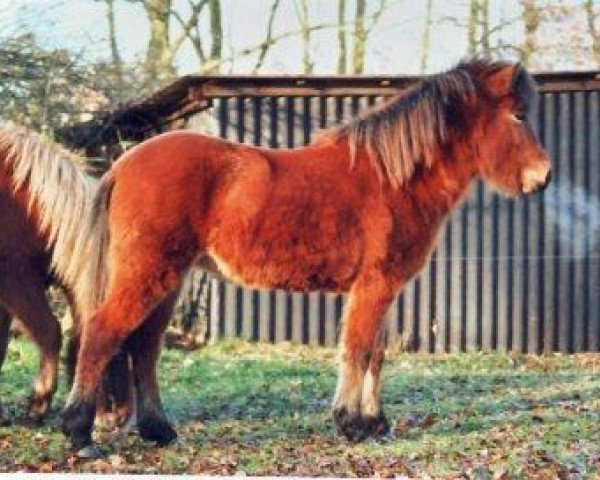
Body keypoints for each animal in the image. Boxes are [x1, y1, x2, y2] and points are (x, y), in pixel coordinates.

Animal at [62, 57, 552, 454]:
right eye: (518, 115)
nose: (544, 176)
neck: (391, 178)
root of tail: (122, 165)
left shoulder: (384, 288)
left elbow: (376, 353)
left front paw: (375, 422)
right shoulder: (374, 286)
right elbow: (357, 350)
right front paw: (352, 424)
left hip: (169, 281)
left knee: (144, 346)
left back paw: (157, 430)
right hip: (148, 275)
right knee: (103, 333)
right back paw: (80, 433)